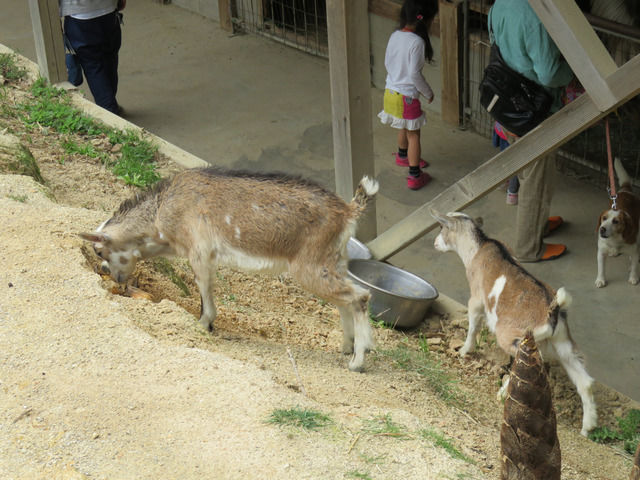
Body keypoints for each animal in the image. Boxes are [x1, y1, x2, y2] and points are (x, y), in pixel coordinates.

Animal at [82, 168, 378, 372]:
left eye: (99, 251)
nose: (108, 273)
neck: (163, 214)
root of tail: (348, 211)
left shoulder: (200, 252)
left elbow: (203, 287)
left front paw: (203, 324)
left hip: (311, 267)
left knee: (361, 296)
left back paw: (357, 361)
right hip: (333, 262)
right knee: (344, 301)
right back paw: (346, 347)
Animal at [432, 210, 596, 436]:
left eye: (442, 228)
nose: (435, 243)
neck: (478, 248)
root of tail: (552, 309)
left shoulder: (476, 299)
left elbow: (473, 326)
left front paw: (464, 350)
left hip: (512, 336)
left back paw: (503, 393)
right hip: (563, 342)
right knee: (585, 381)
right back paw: (588, 427)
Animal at [596, 158, 640, 286]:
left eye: (616, 221)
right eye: (604, 218)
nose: (602, 229)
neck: (615, 239)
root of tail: (626, 190)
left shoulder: (634, 250)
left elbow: (634, 265)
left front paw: (633, 277)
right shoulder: (601, 252)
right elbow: (601, 268)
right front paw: (600, 279)